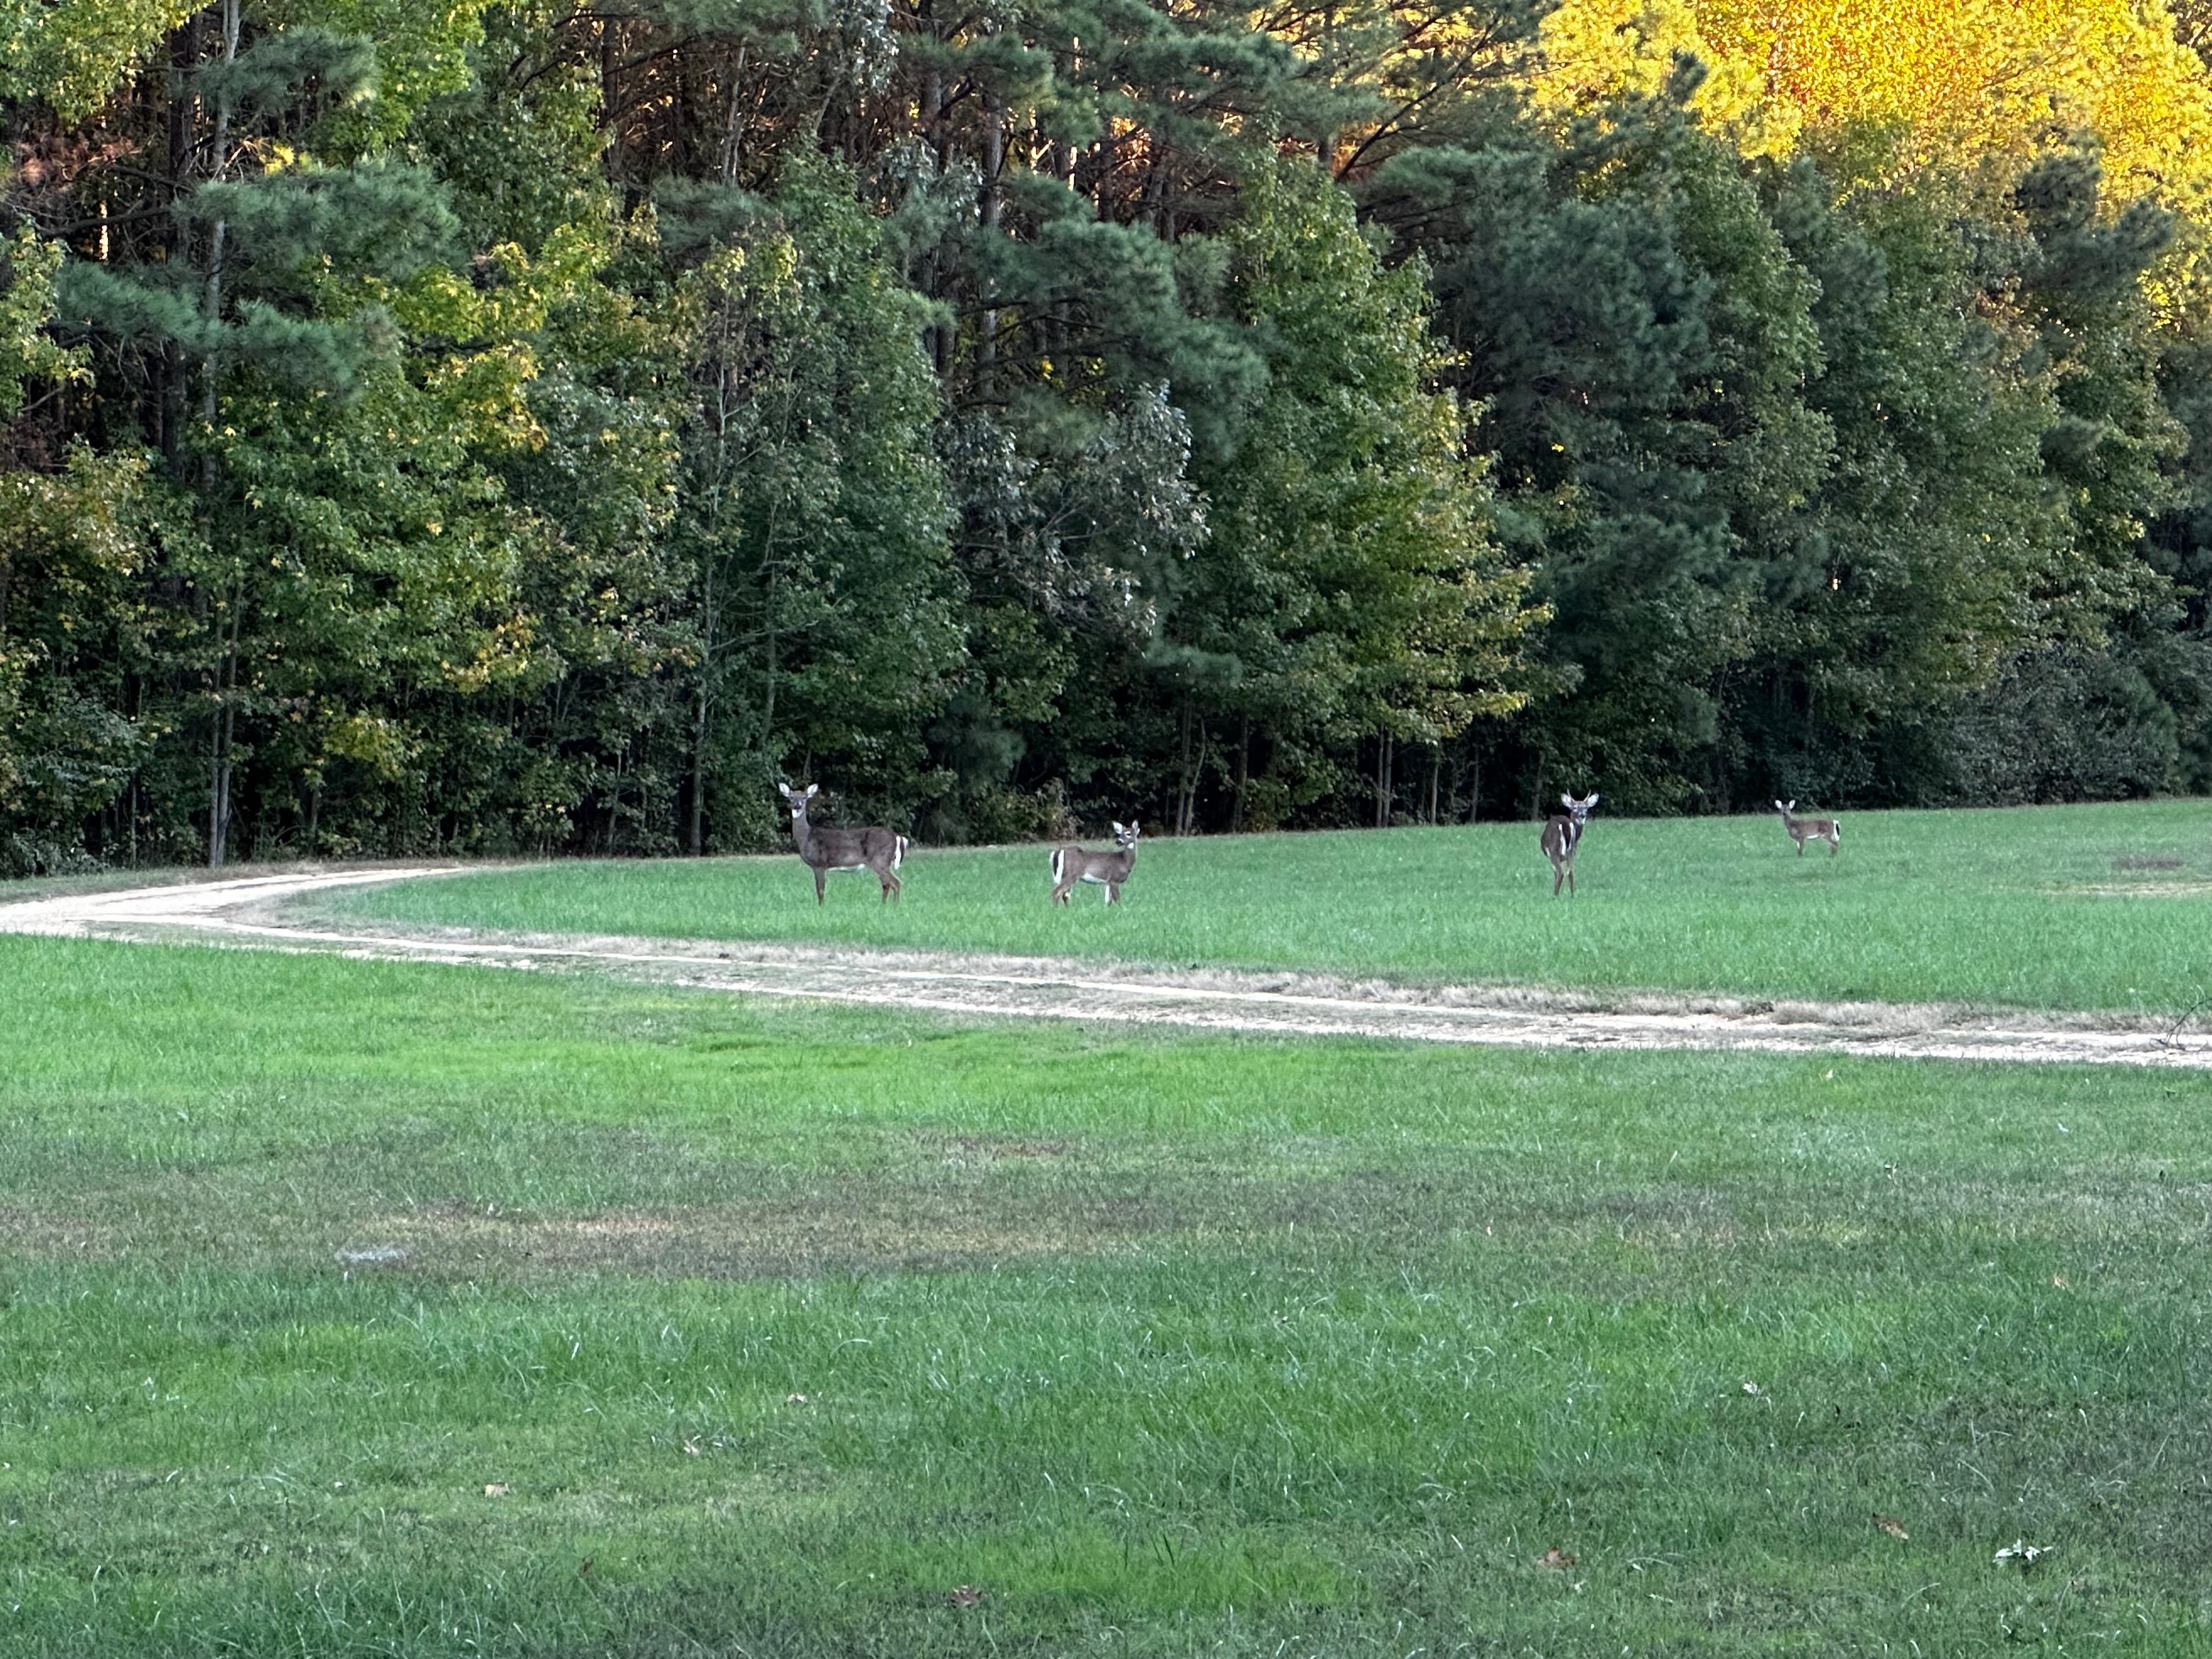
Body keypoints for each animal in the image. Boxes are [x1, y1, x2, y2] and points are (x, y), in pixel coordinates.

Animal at [778, 783, 908, 903]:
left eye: (805, 797)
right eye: (791, 798)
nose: (797, 806)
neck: (806, 837)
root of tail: (896, 836)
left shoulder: (820, 863)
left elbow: (821, 890)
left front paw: (821, 907)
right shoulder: (817, 866)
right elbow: (818, 889)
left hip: (880, 859)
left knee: (895, 883)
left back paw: (894, 906)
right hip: (883, 862)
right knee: (887, 884)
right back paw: (884, 905)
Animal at [1051, 821, 1140, 905]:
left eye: (1128, 834)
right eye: (1120, 834)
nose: (1118, 841)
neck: (1124, 860)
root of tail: (1059, 851)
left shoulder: (1108, 882)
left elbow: (1108, 901)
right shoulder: (1114, 879)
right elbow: (1117, 900)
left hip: (1065, 875)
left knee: (1065, 895)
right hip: (1071, 874)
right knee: (1057, 892)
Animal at [1540, 792, 1599, 897]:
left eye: (1586, 808)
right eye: (1575, 807)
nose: (1582, 815)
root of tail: (1565, 824)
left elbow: (1555, 874)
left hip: (1554, 849)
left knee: (1561, 873)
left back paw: (1555, 896)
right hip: (1572, 851)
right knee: (1571, 872)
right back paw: (1572, 896)